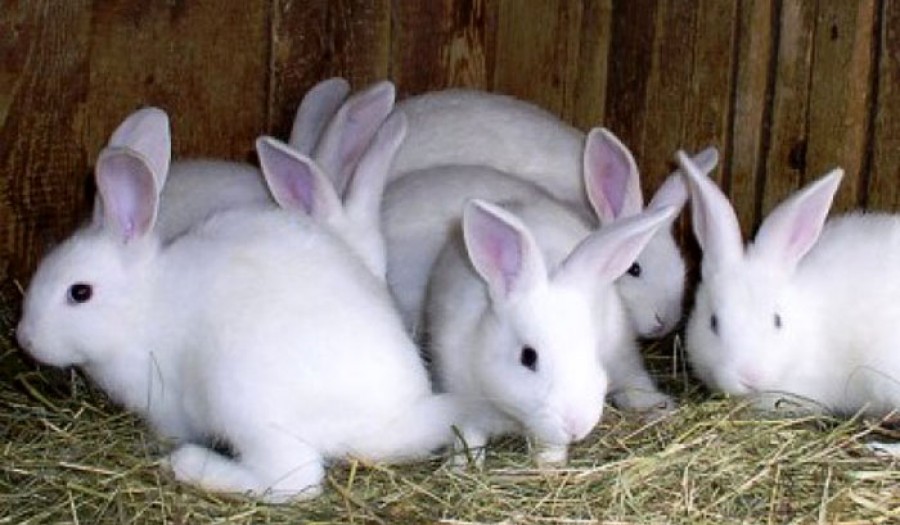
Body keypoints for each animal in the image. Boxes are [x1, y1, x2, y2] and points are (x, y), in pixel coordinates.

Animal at [16, 107, 462, 503]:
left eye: (79, 292)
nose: (25, 339)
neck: (142, 306)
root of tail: (396, 416)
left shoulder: (166, 405)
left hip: (243, 402)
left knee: (295, 480)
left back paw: (189, 466)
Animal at [425, 198, 677, 466]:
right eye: (527, 357)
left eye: (594, 353)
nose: (576, 426)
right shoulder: (464, 404)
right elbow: (469, 438)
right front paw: (462, 466)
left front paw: (549, 465)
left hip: (623, 356)